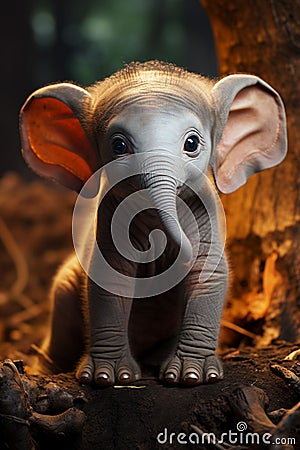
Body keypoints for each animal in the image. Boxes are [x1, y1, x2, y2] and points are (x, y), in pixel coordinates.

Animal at [19, 61, 288, 388]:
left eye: (192, 143)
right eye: (118, 146)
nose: (171, 252)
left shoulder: (207, 214)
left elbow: (209, 276)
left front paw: (192, 376)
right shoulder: (108, 218)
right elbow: (110, 278)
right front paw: (110, 377)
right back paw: (41, 369)